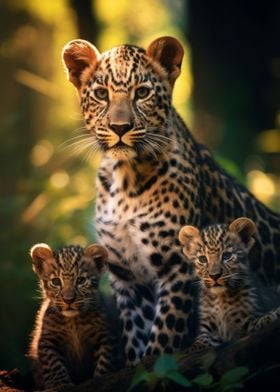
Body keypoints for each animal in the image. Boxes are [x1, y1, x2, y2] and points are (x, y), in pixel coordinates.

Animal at [28, 243, 116, 390]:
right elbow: (54, 364)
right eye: (56, 282)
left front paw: (100, 379)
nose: (68, 300)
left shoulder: (105, 336)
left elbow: (105, 362)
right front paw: (60, 385)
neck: (73, 321)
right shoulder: (47, 339)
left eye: (81, 280)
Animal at [178, 217, 280, 352]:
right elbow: (198, 343)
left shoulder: (246, 323)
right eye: (202, 259)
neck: (220, 300)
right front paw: (191, 349)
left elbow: (256, 323)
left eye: (227, 256)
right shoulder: (208, 329)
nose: (214, 275)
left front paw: (271, 315)